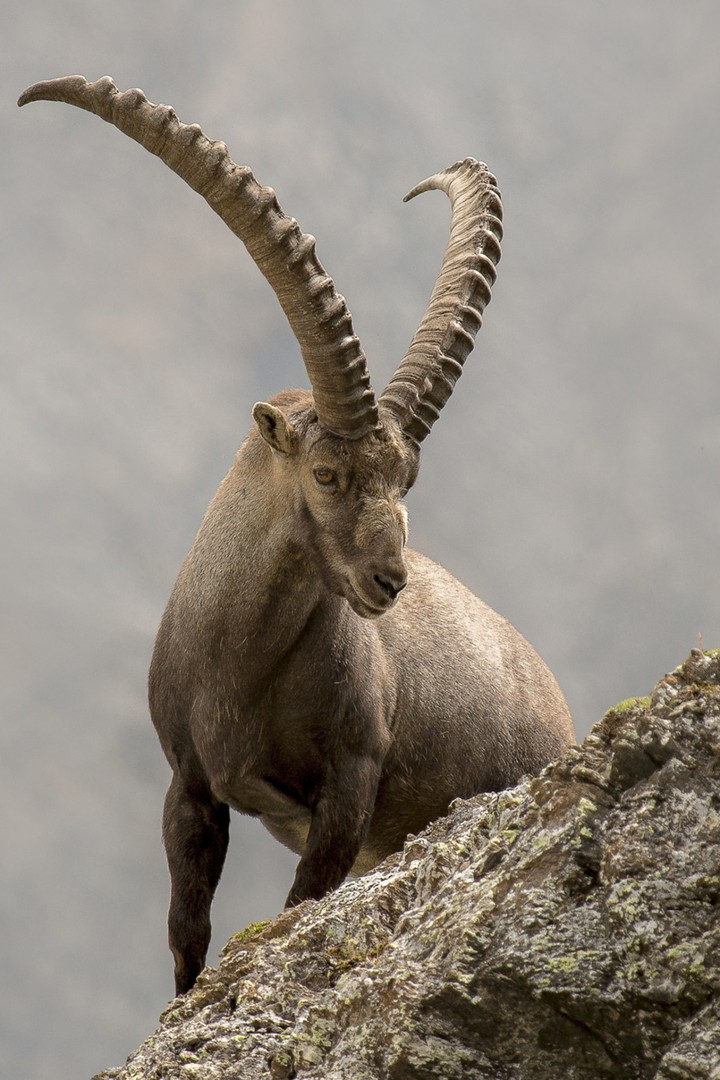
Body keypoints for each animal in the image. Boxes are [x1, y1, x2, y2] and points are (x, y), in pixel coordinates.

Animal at [19, 76, 575, 996]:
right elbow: (187, 936)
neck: (242, 668)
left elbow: (299, 906)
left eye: (405, 482)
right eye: (325, 475)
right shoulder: (192, 787)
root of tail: (559, 705)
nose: (389, 582)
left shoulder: (350, 790)